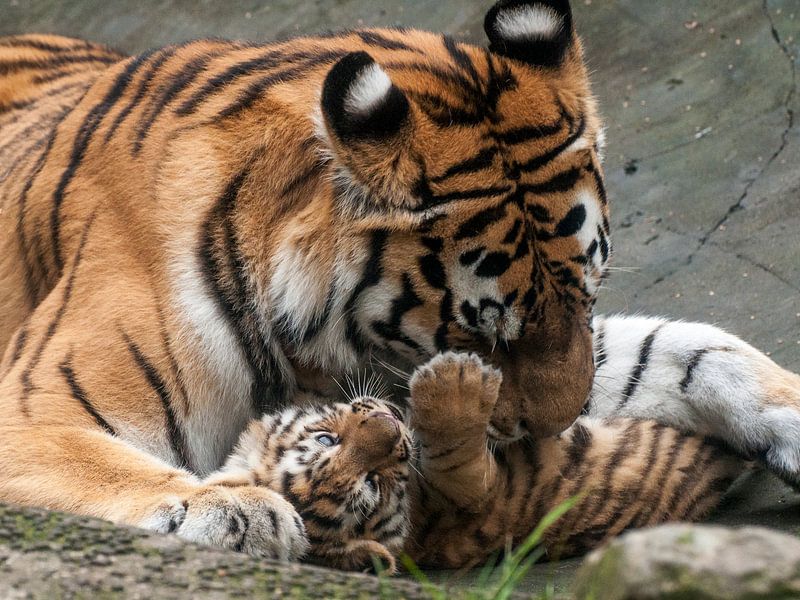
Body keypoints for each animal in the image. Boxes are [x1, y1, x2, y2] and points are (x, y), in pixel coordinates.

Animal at [1, 0, 800, 565]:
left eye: (588, 293)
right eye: (484, 332)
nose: (559, 431)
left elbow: (684, 351)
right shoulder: (35, 410)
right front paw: (235, 507)